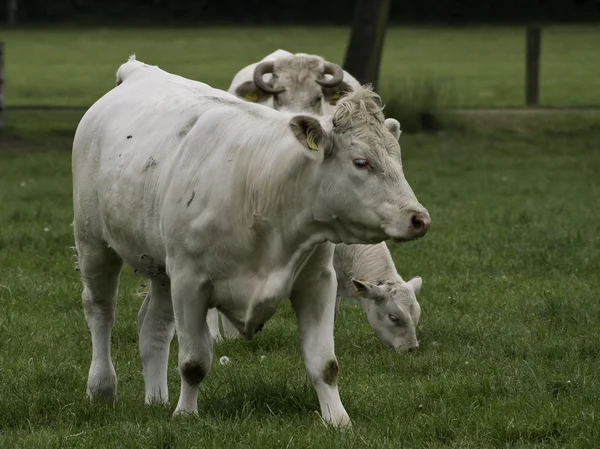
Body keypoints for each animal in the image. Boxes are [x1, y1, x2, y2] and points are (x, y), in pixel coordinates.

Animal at [72, 56, 428, 428]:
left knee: (154, 324)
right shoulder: (189, 282)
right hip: (94, 243)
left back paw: (156, 399)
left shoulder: (317, 282)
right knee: (101, 311)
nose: (419, 218)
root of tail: (137, 70)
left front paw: (337, 420)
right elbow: (193, 361)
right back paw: (102, 388)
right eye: (361, 162)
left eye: (398, 159)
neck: (263, 190)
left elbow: (325, 364)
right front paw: (186, 415)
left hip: (160, 267)